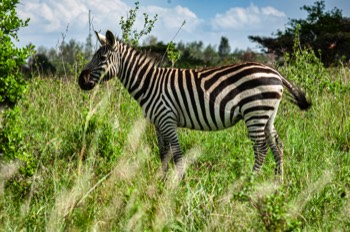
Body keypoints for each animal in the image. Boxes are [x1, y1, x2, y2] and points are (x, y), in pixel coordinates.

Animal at [78, 29, 310, 180]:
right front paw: (161, 181)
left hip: (255, 112)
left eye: (102, 57)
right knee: (277, 146)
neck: (149, 83)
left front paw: (178, 182)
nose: (81, 80)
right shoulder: (158, 123)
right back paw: (277, 183)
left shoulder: (167, 119)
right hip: (268, 115)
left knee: (261, 148)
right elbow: (163, 153)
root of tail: (275, 72)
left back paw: (249, 183)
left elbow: (177, 153)